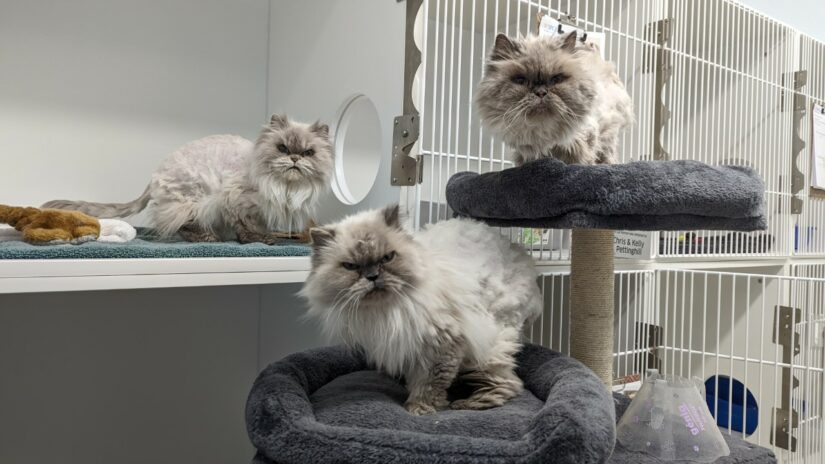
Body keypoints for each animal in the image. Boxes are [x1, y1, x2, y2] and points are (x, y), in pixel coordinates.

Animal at [42, 114, 332, 243]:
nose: (294, 159)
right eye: (282, 148)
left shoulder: (261, 210)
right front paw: (257, 240)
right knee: (178, 224)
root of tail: (154, 176)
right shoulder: (234, 199)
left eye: (308, 152)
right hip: (196, 198)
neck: (285, 187)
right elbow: (244, 227)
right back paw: (207, 238)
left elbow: (257, 225)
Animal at [300, 205, 544, 416]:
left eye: (387, 258)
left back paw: (466, 404)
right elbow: (415, 378)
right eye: (351, 267)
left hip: (490, 344)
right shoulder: (407, 346)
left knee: (510, 384)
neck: (388, 311)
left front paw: (419, 409)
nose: (372, 276)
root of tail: (522, 254)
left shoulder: (441, 345)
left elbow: (429, 383)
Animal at [474, 29, 636, 166]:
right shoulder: (526, 153)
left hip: (608, 135)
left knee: (607, 156)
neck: (544, 135)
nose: (540, 92)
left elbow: (581, 162)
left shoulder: (583, 143)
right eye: (521, 80)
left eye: (555, 80)